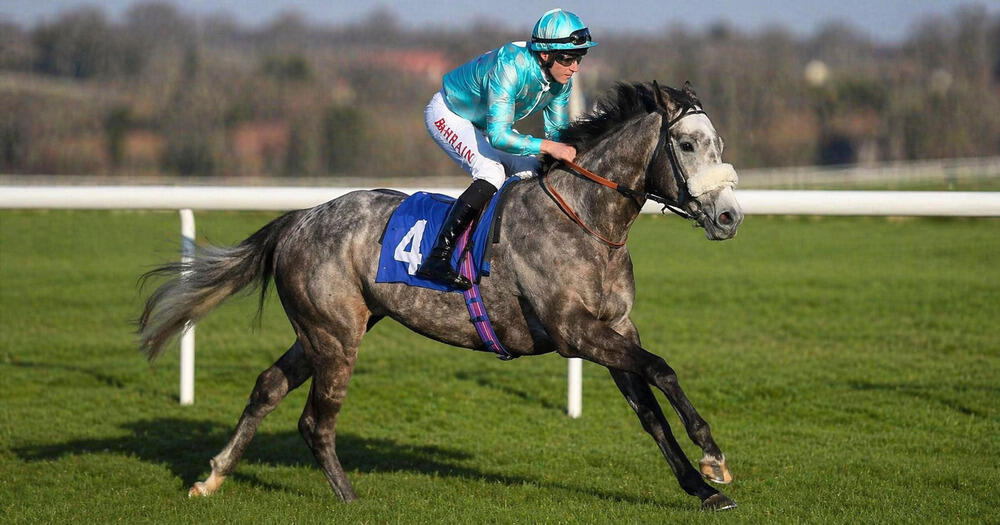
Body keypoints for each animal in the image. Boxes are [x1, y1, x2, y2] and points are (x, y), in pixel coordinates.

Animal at [138, 81, 744, 511]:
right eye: (687, 144)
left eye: (718, 143)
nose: (730, 217)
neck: (586, 221)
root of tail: (299, 220)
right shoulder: (575, 332)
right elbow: (662, 368)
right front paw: (713, 456)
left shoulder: (615, 328)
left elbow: (650, 411)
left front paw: (703, 487)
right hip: (335, 337)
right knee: (315, 421)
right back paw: (351, 500)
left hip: (324, 330)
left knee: (267, 387)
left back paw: (212, 478)